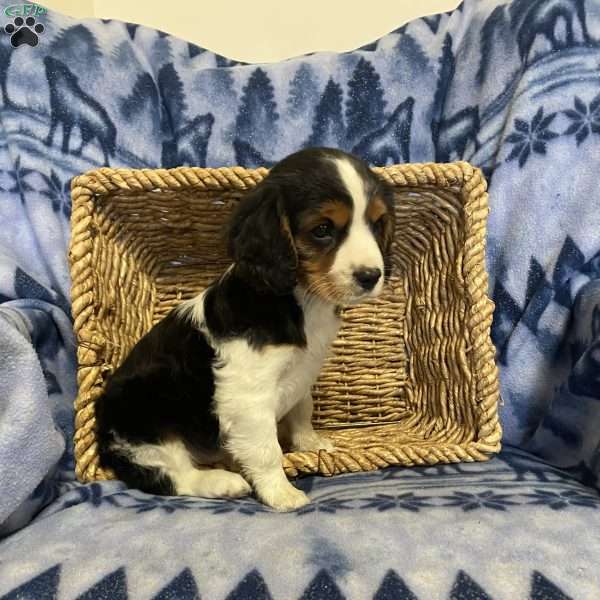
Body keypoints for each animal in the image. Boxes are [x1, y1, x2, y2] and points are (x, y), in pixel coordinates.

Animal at [96, 148, 396, 508]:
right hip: (146, 417)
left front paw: (310, 443)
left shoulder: (303, 372)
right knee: (169, 474)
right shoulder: (248, 395)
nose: (371, 276)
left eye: (377, 223)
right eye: (322, 229)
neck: (301, 300)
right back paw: (221, 482)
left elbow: (302, 410)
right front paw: (281, 494)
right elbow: (267, 450)